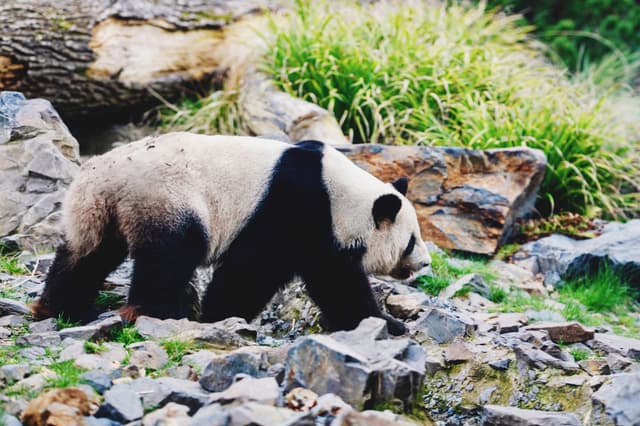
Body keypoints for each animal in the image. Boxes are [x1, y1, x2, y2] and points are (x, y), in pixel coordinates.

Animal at [31, 133, 431, 335]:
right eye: (411, 241)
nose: (426, 264)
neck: (343, 195)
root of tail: (106, 181)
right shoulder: (298, 208)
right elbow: (259, 270)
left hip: (95, 210)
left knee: (87, 254)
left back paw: (61, 307)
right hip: (166, 198)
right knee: (169, 258)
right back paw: (161, 311)